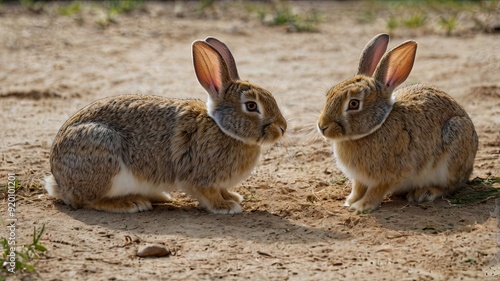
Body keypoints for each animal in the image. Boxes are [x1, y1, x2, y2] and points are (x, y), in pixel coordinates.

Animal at [45, 36, 288, 212]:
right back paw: (132, 203)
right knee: (88, 200)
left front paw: (233, 197)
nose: (282, 128)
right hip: (104, 154)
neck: (223, 128)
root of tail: (59, 183)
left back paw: (158, 196)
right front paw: (226, 206)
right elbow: (208, 194)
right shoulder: (199, 177)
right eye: (251, 106)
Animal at [318, 33, 478, 210]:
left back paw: (424, 193)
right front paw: (350, 202)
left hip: (455, 143)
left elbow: (376, 190)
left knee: (451, 186)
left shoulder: (390, 174)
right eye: (329, 94)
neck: (377, 126)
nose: (322, 126)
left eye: (353, 104)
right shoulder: (360, 179)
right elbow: (358, 188)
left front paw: (362, 206)